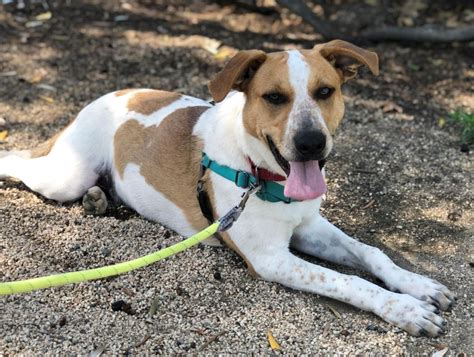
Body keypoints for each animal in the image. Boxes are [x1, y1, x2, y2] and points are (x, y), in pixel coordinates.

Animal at [1, 40, 458, 336]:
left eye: (325, 91)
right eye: (273, 97)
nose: (311, 142)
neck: (261, 175)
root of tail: (105, 96)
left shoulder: (309, 226)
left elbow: (371, 253)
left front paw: (418, 285)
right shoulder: (270, 258)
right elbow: (348, 281)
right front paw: (405, 309)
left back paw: (99, 199)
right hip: (65, 176)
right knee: (22, 161)